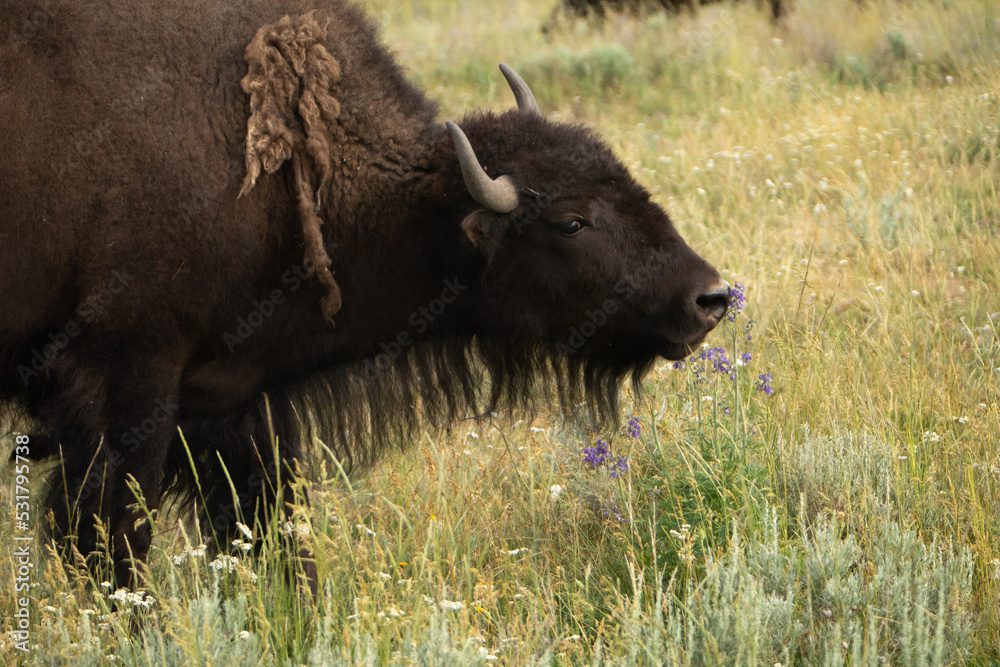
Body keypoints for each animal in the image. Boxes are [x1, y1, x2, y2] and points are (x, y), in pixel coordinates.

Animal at [0, 0, 728, 584]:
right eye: (571, 221)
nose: (710, 298)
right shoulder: (128, 383)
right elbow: (116, 540)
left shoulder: (231, 402)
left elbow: (269, 528)